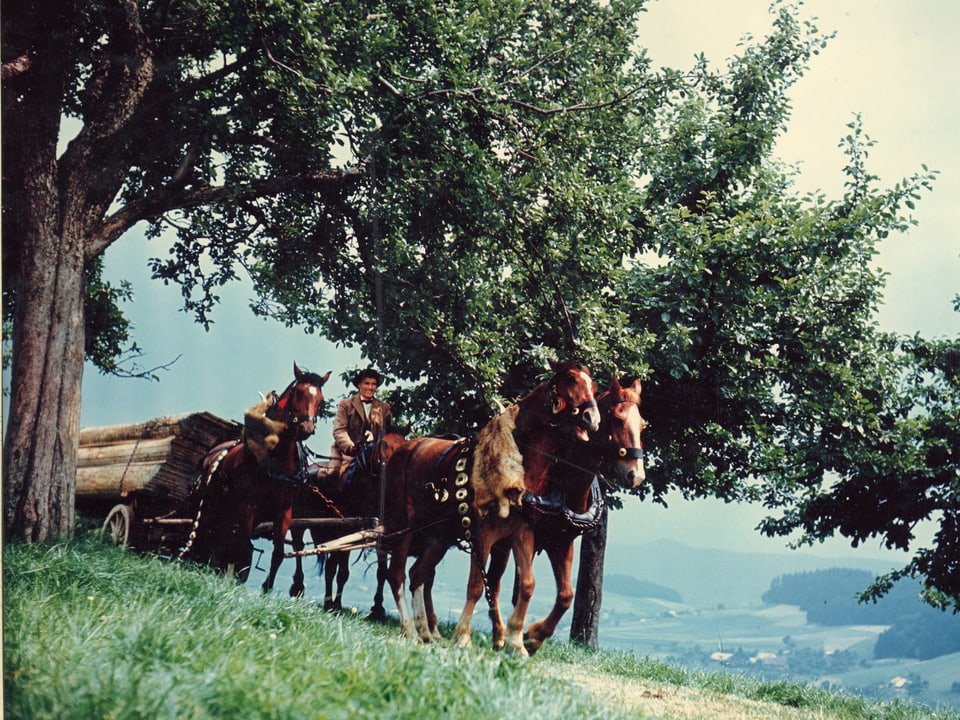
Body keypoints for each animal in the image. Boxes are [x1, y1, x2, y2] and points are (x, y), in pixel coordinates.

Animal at [182, 362, 332, 592]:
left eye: (321, 399)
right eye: (298, 393)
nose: (306, 428)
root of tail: (213, 453)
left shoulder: (284, 512)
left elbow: (278, 553)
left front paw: (266, 588)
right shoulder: (247, 508)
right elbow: (243, 550)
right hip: (210, 509)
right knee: (211, 539)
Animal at [284, 430, 404, 612]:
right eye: (384, 446)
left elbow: (380, 572)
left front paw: (377, 608)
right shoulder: (342, 533)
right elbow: (337, 570)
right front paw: (332, 604)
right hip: (300, 523)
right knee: (298, 547)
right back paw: (298, 587)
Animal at [376, 360, 596, 648]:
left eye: (593, 385)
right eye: (570, 379)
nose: (592, 418)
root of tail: (403, 450)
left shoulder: (520, 533)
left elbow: (522, 584)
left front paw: (516, 639)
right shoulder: (483, 533)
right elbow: (478, 585)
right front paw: (463, 638)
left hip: (438, 538)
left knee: (418, 574)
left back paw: (425, 630)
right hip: (404, 527)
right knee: (396, 575)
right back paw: (410, 629)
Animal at [472, 374, 644, 656]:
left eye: (642, 425)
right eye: (618, 418)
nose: (636, 475)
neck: (563, 480)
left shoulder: (562, 542)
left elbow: (566, 595)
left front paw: (534, 637)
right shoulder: (527, 538)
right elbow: (522, 589)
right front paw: (521, 636)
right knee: (493, 582)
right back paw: (499, 634)